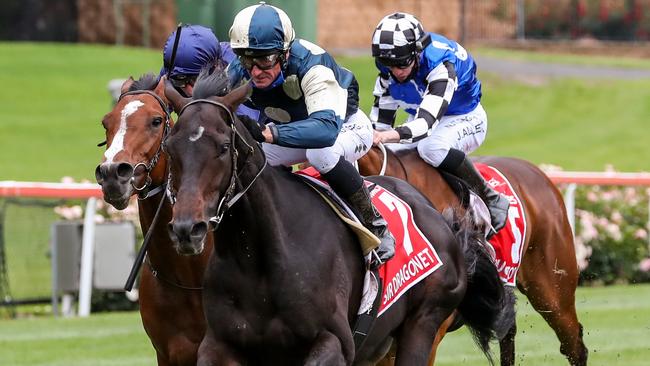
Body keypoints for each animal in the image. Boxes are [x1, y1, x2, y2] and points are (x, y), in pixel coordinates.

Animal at [162, 72, 506, 366]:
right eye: (170, 147)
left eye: (223, 147)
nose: (187, 229)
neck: (257, 260)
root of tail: (438, 217)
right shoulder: (219, 345)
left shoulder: (335, 342)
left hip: (423, 324)